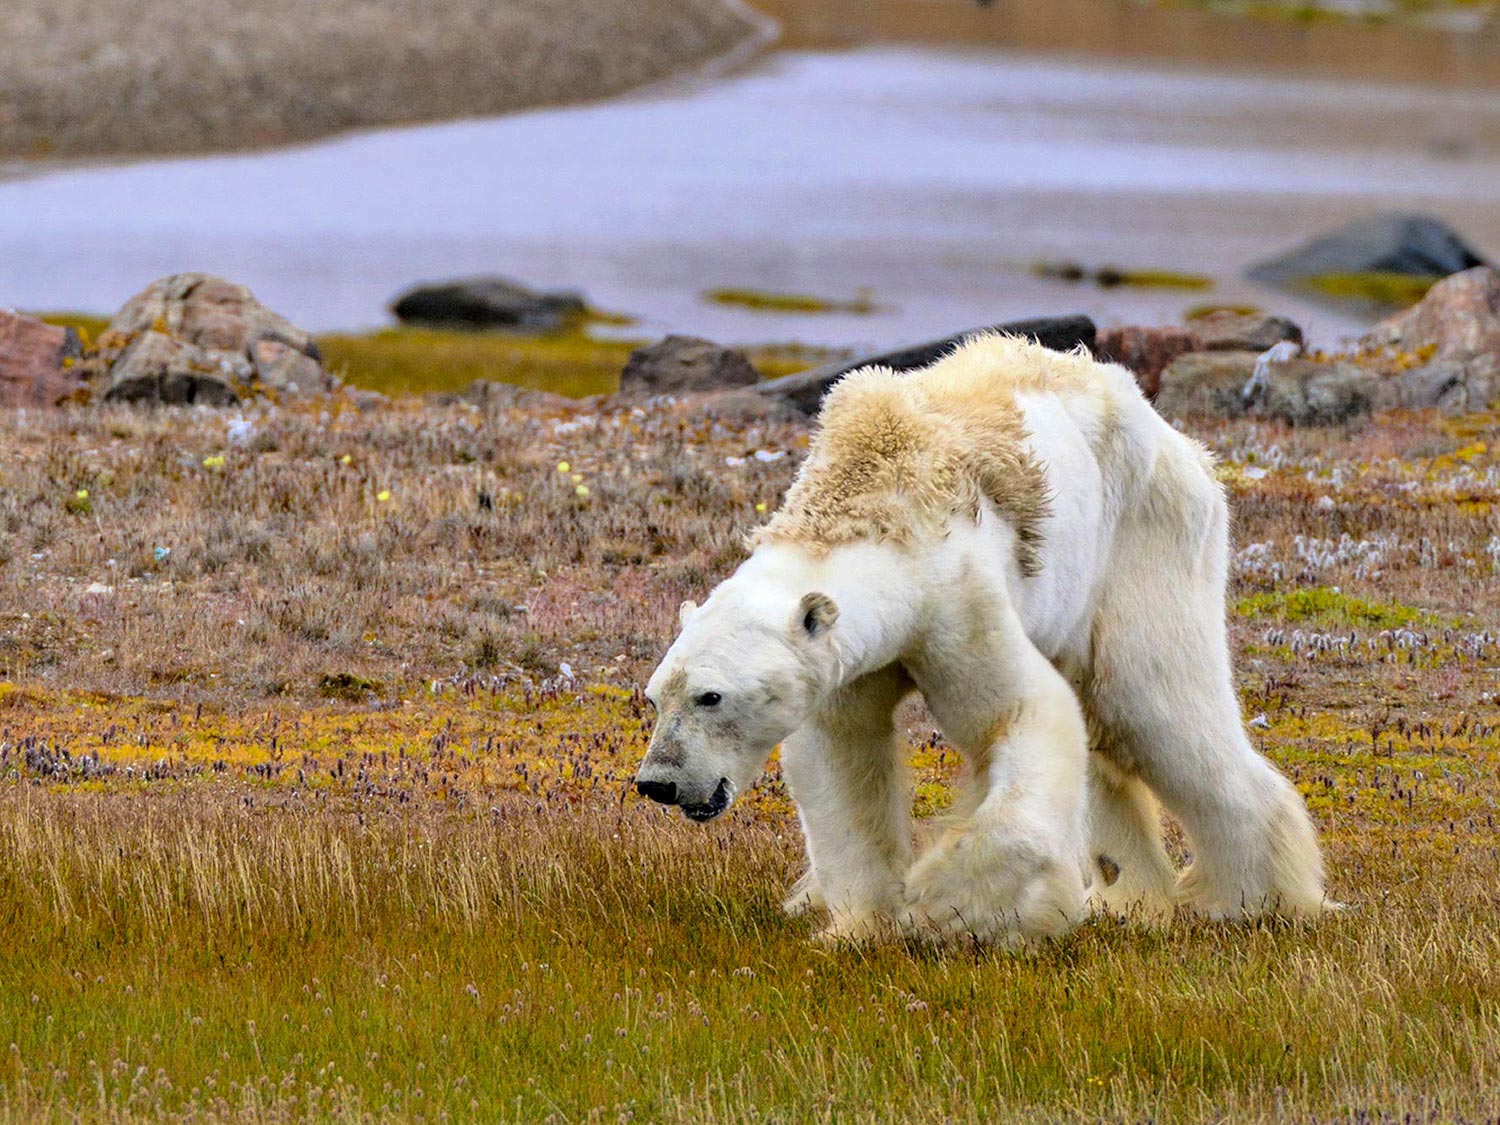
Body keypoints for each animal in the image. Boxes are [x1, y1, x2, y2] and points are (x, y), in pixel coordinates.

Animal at [633, 333, 1326, 942]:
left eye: (711, 696)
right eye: (655, 696)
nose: (657, 782)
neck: (872, 504)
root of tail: (1182, 443)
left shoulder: (956, 598)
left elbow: (1020, 714)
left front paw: (946, 903)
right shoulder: (846, 660)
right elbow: (842, 757)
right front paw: (859, 926)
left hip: (1144, 538)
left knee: (1155, 707)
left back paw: (1252, 899)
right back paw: (1130, 896)